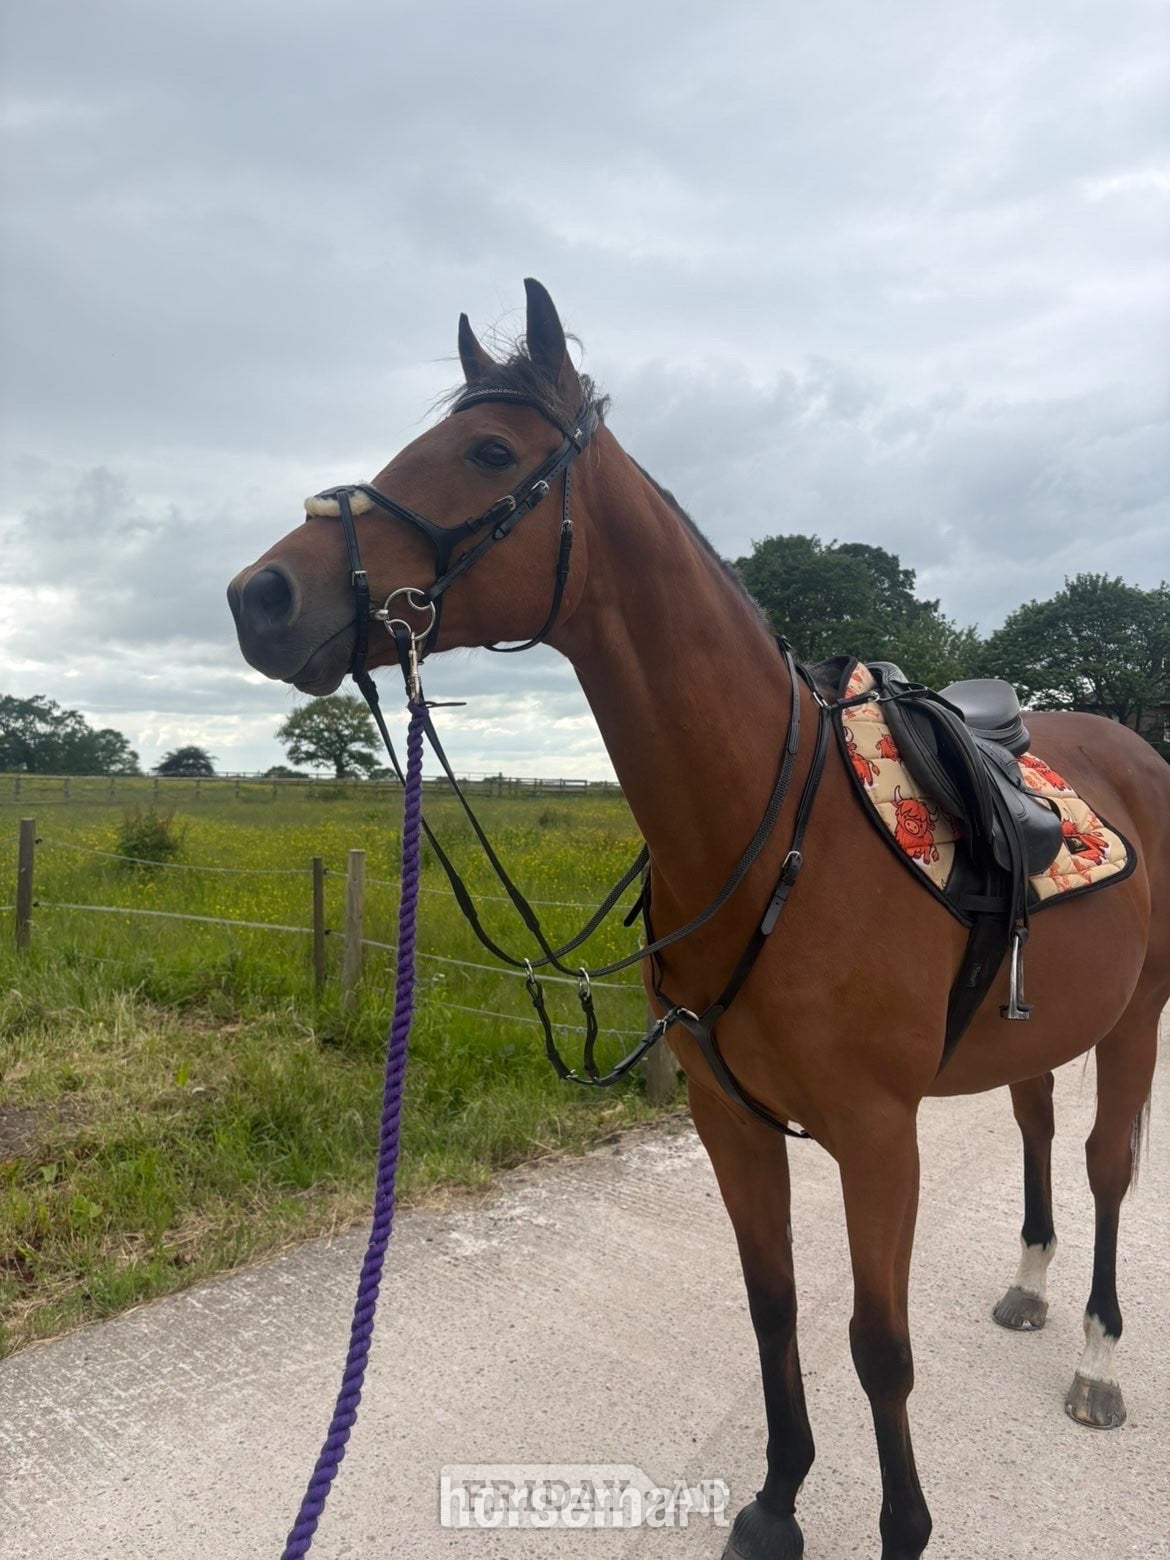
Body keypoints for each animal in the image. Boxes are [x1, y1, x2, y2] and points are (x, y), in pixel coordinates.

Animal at [227, 279, 1170, 1560]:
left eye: (489, 452)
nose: (260, 597)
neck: (772, 837)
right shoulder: (730, 1121)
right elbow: (773, 1309)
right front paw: (775, 1504)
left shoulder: (879, 1137)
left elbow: (880, 1349)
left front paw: (902, 1526)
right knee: (1035, 1127)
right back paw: (1028, 1286)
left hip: (1139, 1019)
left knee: (1108, 1165)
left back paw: (1098, 1361)